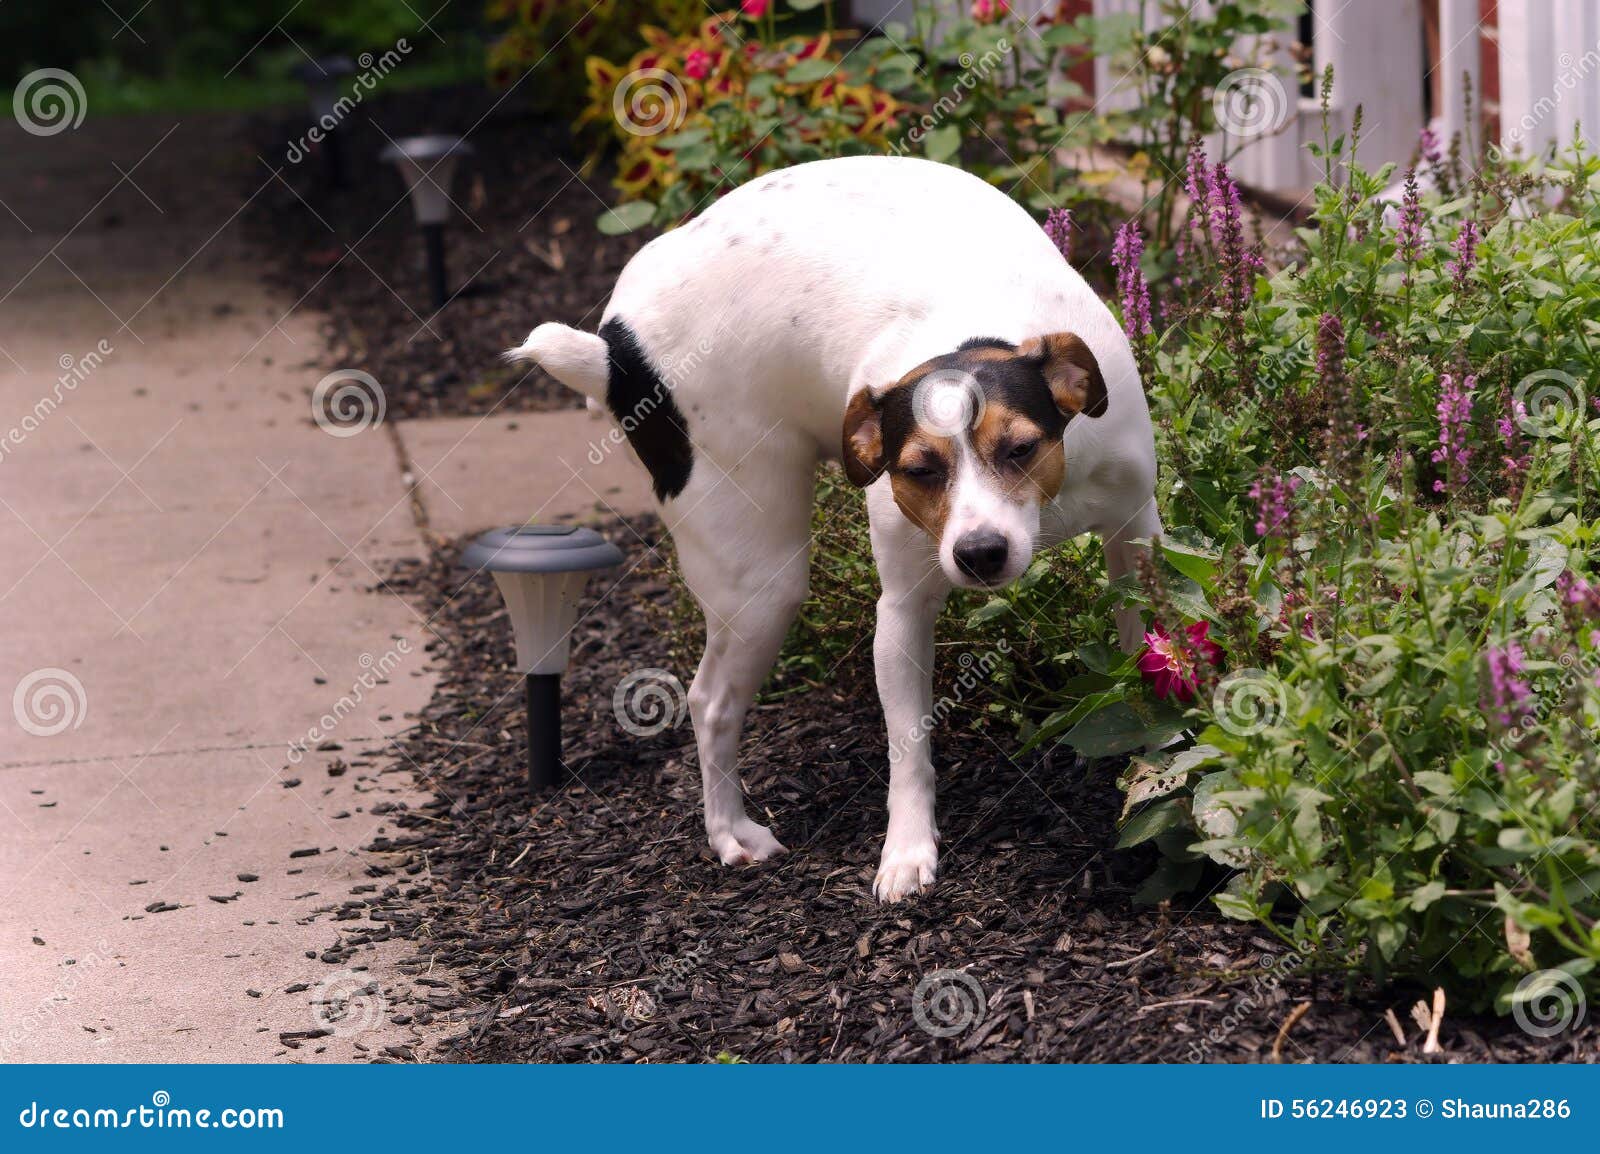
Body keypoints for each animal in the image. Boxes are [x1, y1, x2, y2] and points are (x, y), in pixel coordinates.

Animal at [518, 152, 1158, 902]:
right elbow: (908, 746)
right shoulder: (903, 611)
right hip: (759, 582)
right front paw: (907, 849)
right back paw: (729, 832)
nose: (979, 553)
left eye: (1023, 448)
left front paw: (1159, 761)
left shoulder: (1138, 540)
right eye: (919, 469)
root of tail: (615, 351)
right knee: (709, 702)